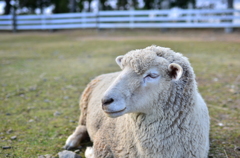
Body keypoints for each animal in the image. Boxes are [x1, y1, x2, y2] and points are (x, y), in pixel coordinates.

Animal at [64, 45, 209, 157]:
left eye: (152, 75)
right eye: (123, 70)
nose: (105, 101)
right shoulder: (102, 142)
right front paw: (89, 151)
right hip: (84, 106)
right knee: (82, 126)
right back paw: (71, 142)